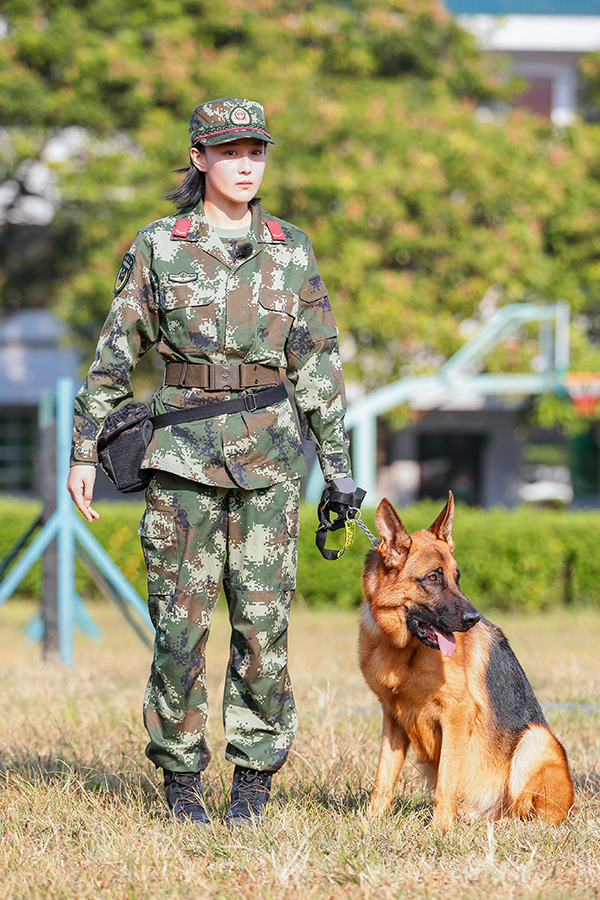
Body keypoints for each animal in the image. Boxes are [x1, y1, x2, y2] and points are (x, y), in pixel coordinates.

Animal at [358, 492, 576, 828]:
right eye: (433, 578)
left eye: (456, 578)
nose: (473, 619)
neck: (405, 650)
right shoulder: (393, 719)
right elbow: (384, 778)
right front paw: (372, 822)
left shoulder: (457, 716)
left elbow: (446, 780)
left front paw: (441, 829)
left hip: (536, 740)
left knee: (528, 814)